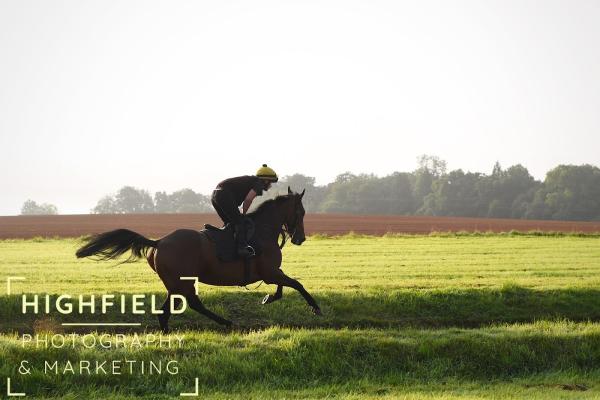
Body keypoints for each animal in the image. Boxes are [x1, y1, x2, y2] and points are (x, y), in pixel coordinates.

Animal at [76, 188, 324, 332]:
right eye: (301, 212)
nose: (300, 238)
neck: (263, 230)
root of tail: (159, 242)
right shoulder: (269, 272)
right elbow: (296, 284)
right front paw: (315, 308)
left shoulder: (271, 272)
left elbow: (285, 287)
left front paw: (268, 298)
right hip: (182, 281)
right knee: (189, 304)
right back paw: (224, 322)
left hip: (177, 283)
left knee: (170, 308)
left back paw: (169, 332)